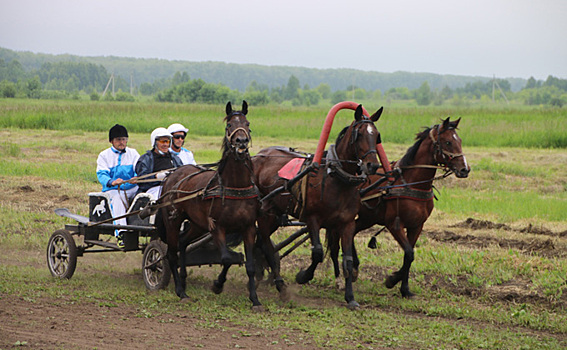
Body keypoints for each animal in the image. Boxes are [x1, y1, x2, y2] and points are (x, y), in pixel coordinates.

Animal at [156, 102, 268, 312]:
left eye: (247, 124)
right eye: (229, 125)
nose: (241, 141)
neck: (236, 187)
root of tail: (172, 176)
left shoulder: (248, 228)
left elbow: (249, 265)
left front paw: (255, 300)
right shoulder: (217, 227)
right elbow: (226, 259)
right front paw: (217, 285)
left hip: (197, 224)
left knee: (183, 242)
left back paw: (184, 281)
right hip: (173, 221)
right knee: (171, 253)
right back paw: (180, 291)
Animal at [254, 104, 384, 308]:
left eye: (377, 135)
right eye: (360, 134)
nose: (372, 166)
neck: (337, 178)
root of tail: (255, 157)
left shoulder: (347, 223)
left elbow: (347, 261)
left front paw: (350, 297)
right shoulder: (312, 219)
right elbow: (317, 253)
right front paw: (303, 276)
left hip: (274, 213)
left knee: (262, 242)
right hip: (263, 213)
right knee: (267, 245)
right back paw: (280, 285)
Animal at [346, 117, 474, 298]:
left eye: (460, 141)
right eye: (448, 142)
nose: (465, 169)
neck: (412, 183)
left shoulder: (416, 226)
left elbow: (409, 256)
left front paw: (404, 289)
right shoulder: (394, 225)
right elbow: (409, 253)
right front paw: (392, 279)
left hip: (368, 217)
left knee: (353, 231)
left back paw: (355, 266)